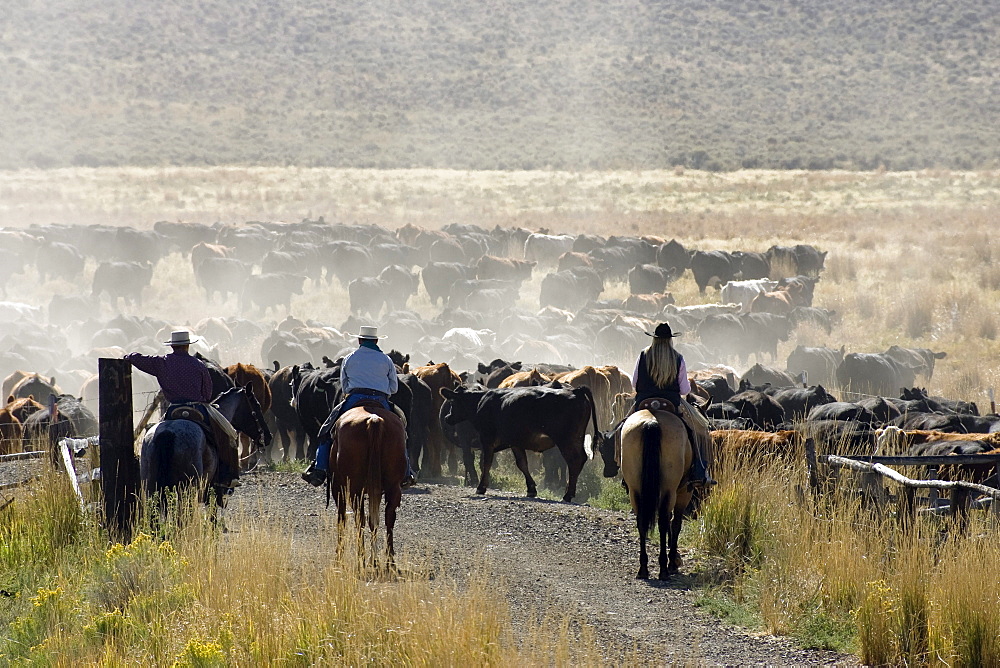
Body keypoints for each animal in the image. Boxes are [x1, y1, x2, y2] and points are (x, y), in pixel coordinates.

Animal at [141, 384, 272, 516]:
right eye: (257, 405)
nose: (268, 436)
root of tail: (167, 433)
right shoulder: (211, 493)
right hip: (186, 492)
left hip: (153, 491)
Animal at [328, 400, 406, 572]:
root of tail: (374, 420)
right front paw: (374, 560)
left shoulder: (338, 487)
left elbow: (342, 518)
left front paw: (338, 557)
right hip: (393, 486)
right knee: (388, 518)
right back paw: (388, 562)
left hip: (354, 488)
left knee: (360, 519)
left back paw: (361, 559)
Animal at [442, 386, 596, 500]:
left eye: (452, 403)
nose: (447, 417)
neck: (480, 402)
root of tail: (576, 391)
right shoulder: (515, 443)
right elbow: (522, 464)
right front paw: (531, 489)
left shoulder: (487, 439)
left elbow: (486, 463)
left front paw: (481, 487)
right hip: (577, 438)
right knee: (581, 459)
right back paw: (569, 491)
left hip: (565, 440)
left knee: (574, 461)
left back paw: (568, 494)